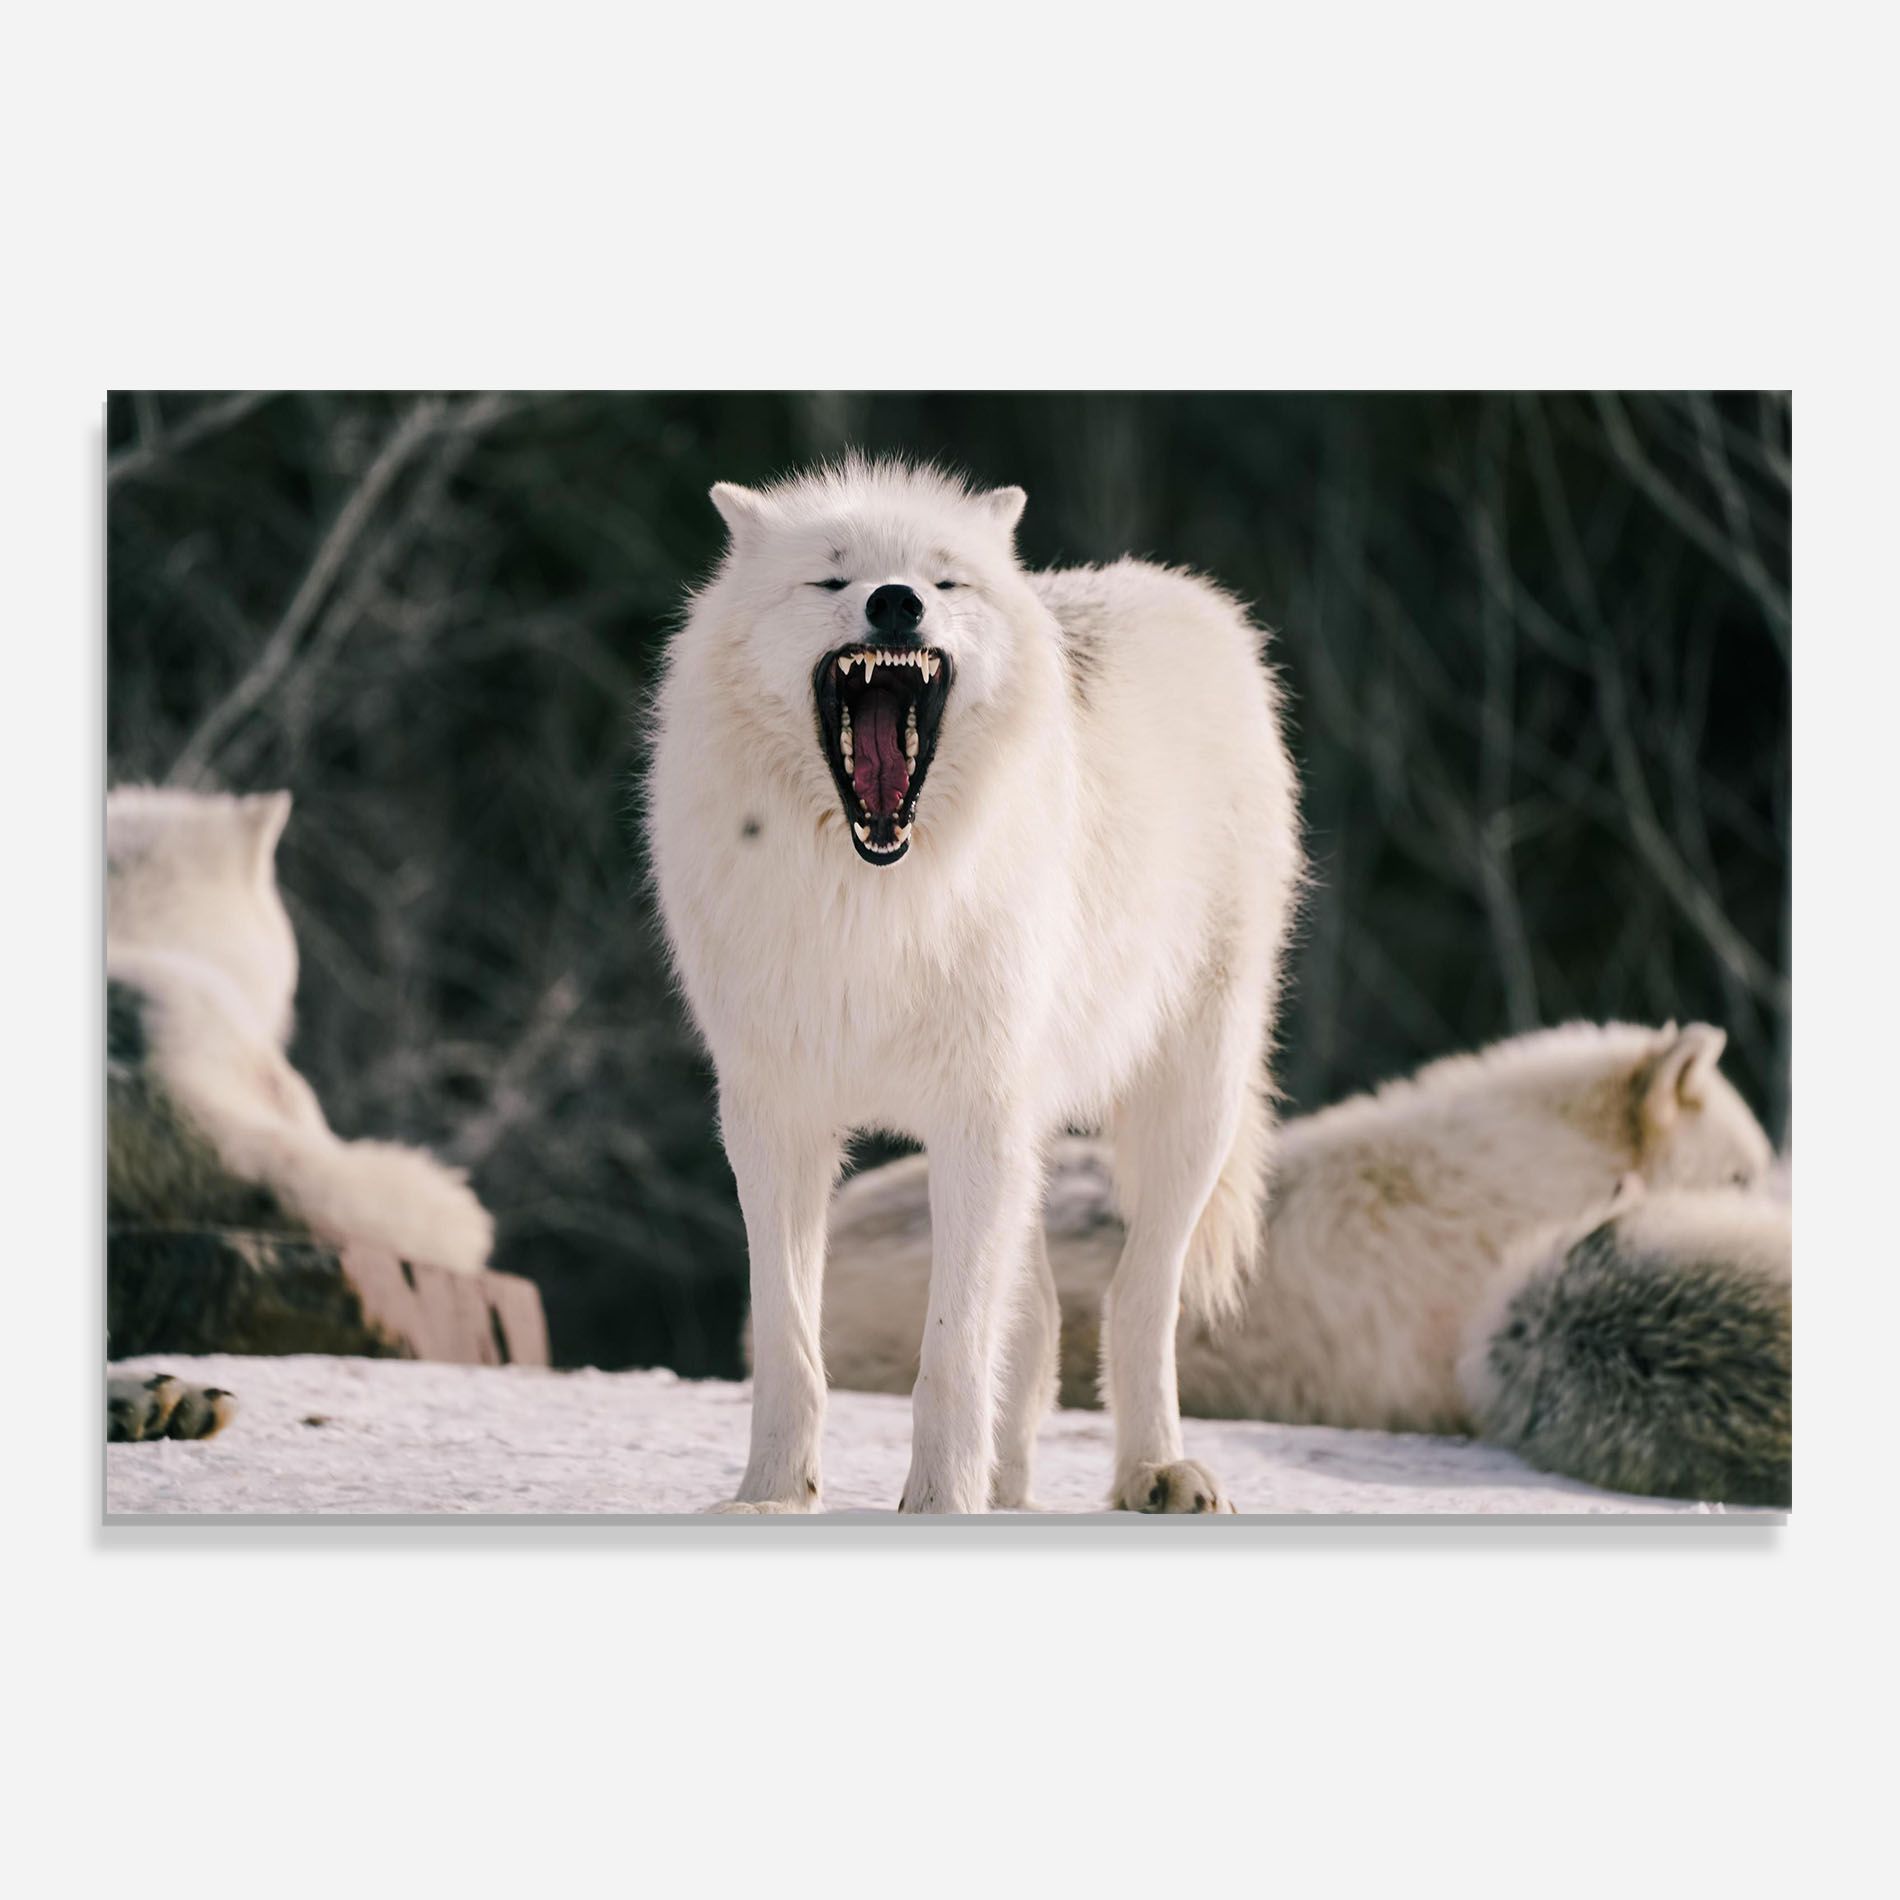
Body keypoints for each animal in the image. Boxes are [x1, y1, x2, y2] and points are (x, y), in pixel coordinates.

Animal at [647, 459, 1300, 1512]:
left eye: (944, 580)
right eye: (832, 578)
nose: (896, 602)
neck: (874, 901)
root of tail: (1182, 594)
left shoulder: (973, 1118)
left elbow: (950, 1355)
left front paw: (938, 1502)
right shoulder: (773, 1120)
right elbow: (790, 1343)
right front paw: (773, 1495)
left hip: (1188, 1101)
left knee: (1138, 1295)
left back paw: (1157, 1470)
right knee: (1035, 1320)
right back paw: (1014, 1489)